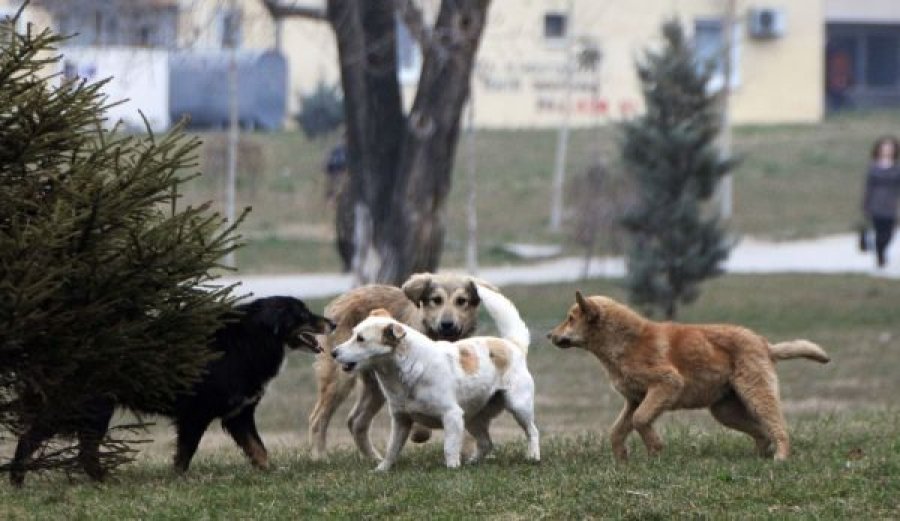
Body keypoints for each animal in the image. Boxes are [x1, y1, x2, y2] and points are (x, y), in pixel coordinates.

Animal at [9, 296, 334, 488]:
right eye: (303, 313)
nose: (332, 322)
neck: (249, 340)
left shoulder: (238, 415)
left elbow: (258, 449)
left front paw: (271, 472)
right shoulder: (196, 415)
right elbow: (185, 454)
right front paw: (178, 481)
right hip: (89, 408)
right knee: (52, 444)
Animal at [312, 272, 492, 460]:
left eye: (461, 301)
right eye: (436, 300)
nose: (447, 324)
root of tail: (341, 299)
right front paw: (420, 433)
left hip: (375, 388)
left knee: (355, 421)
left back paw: (373, 458)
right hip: (339, 380)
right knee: (318, 418)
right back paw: (320, 456)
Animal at [334, 284, 536, 472]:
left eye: (360, 339)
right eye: (353, 334)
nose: (333, 352)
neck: (408, 370)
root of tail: (513, 345)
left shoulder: (452, 416)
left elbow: (449, 448)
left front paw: (452, 468)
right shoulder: (401, 420)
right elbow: (392, 449)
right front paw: (382, 469)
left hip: (518, 406)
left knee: (532, 431)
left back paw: (533, 456)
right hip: (472, 418)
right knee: (486, 443)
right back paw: (473, 462)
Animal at [544, 292, 828, 460]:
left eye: (570, 318)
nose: (548, 335)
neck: (625, 343)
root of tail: (764, 344)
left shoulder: (667, 384)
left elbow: (640, 420)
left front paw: (655, 449)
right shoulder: (634, 399)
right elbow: (618, 430)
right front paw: (622, 458)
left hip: (756, 394)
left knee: (777, 427)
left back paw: (780, 456)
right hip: (725, 411)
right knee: (762, 432)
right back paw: (760, 455)